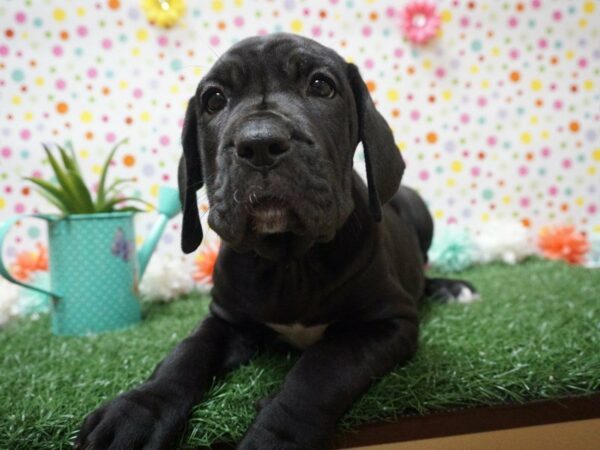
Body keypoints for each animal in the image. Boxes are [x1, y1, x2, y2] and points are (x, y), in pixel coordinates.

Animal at [76, 34, 478, 450]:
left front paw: (275, 432)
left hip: (418, 209)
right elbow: (186, 352)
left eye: (321, 86)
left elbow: (320, 370)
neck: (290, 260)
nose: (259, 144)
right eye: (214, 100)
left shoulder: (386, 322)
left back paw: (451, 288)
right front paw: (139, 409)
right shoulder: (226, 320)